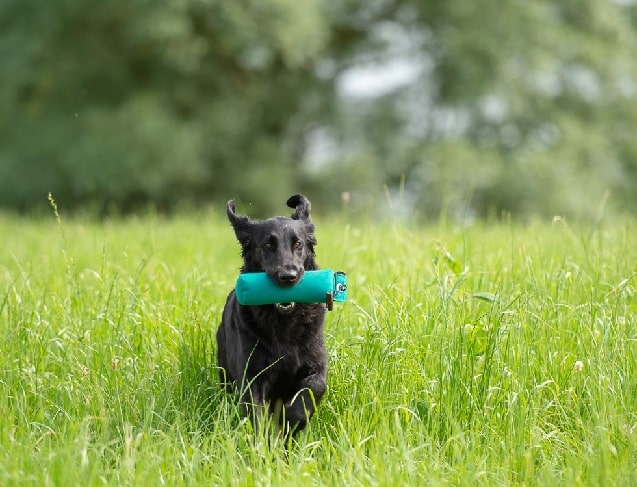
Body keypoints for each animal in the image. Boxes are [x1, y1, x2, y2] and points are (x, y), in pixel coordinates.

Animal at [217, 196, 328, 436]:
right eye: (268, 245)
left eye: (298, 244)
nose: (288, 276)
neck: (284, 322)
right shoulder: (253, 377)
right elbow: (257, 416)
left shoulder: (316, 364)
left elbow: (315, 386)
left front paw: (292, 418)